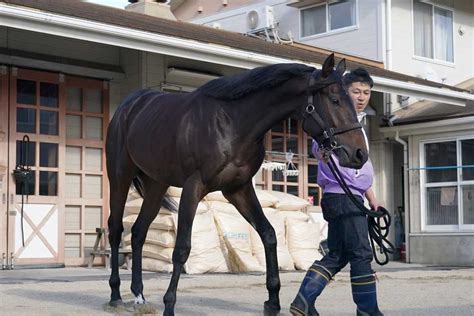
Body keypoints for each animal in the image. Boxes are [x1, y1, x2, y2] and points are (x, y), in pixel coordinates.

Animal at [105, 53, 368, 314]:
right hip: (119, 177)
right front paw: (169, 305)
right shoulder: (194, 187)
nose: (359, 154)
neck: (232, 124)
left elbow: (268, 234)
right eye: (335, 100)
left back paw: (139, 295)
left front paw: (272, 300)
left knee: (138, 232)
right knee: (116, 230)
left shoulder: (238, 189)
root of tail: (128, 107)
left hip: (156, 185)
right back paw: (116, 294)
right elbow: (182, 248)